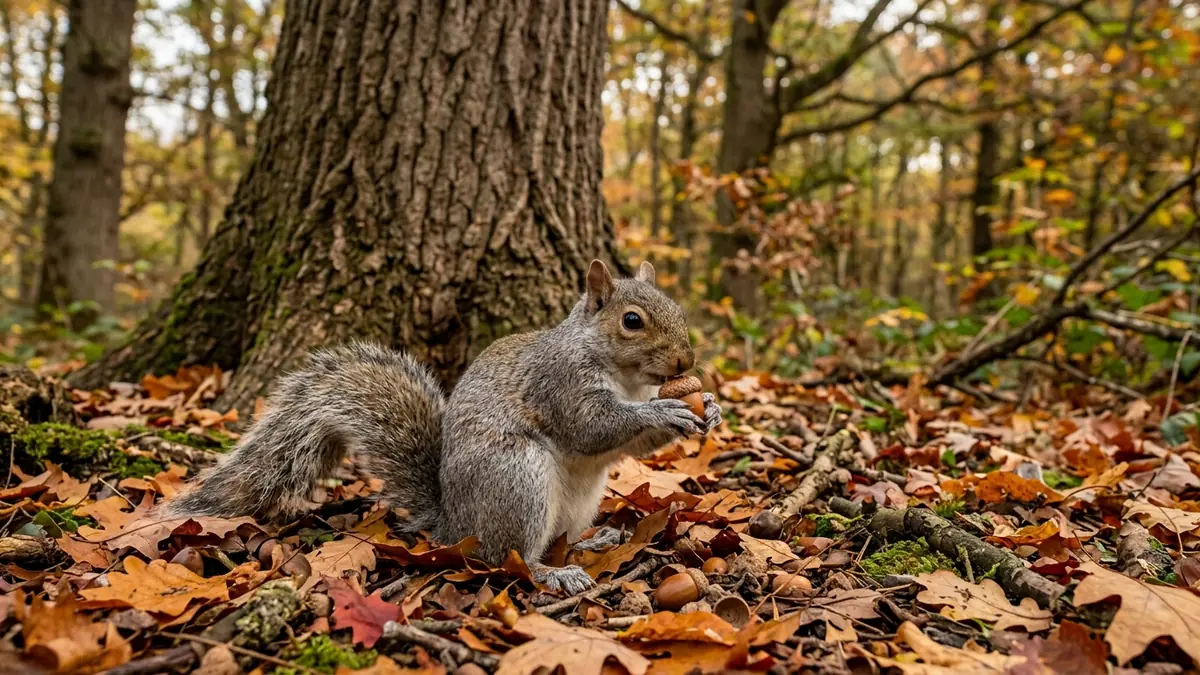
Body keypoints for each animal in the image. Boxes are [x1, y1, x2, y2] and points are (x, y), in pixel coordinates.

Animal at [162, 260, 721, 593]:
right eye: (632, 321)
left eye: (677, 308)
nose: (686, 361)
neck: (625, 377)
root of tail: (455, 527)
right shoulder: (559, 383)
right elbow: (592, 427)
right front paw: (664, 413)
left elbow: (637, 445)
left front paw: (707, 408)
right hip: (516, 479)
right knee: (507, 556)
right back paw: (553, 572)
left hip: (577, 500)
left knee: (551, 538)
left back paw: (589, 542)